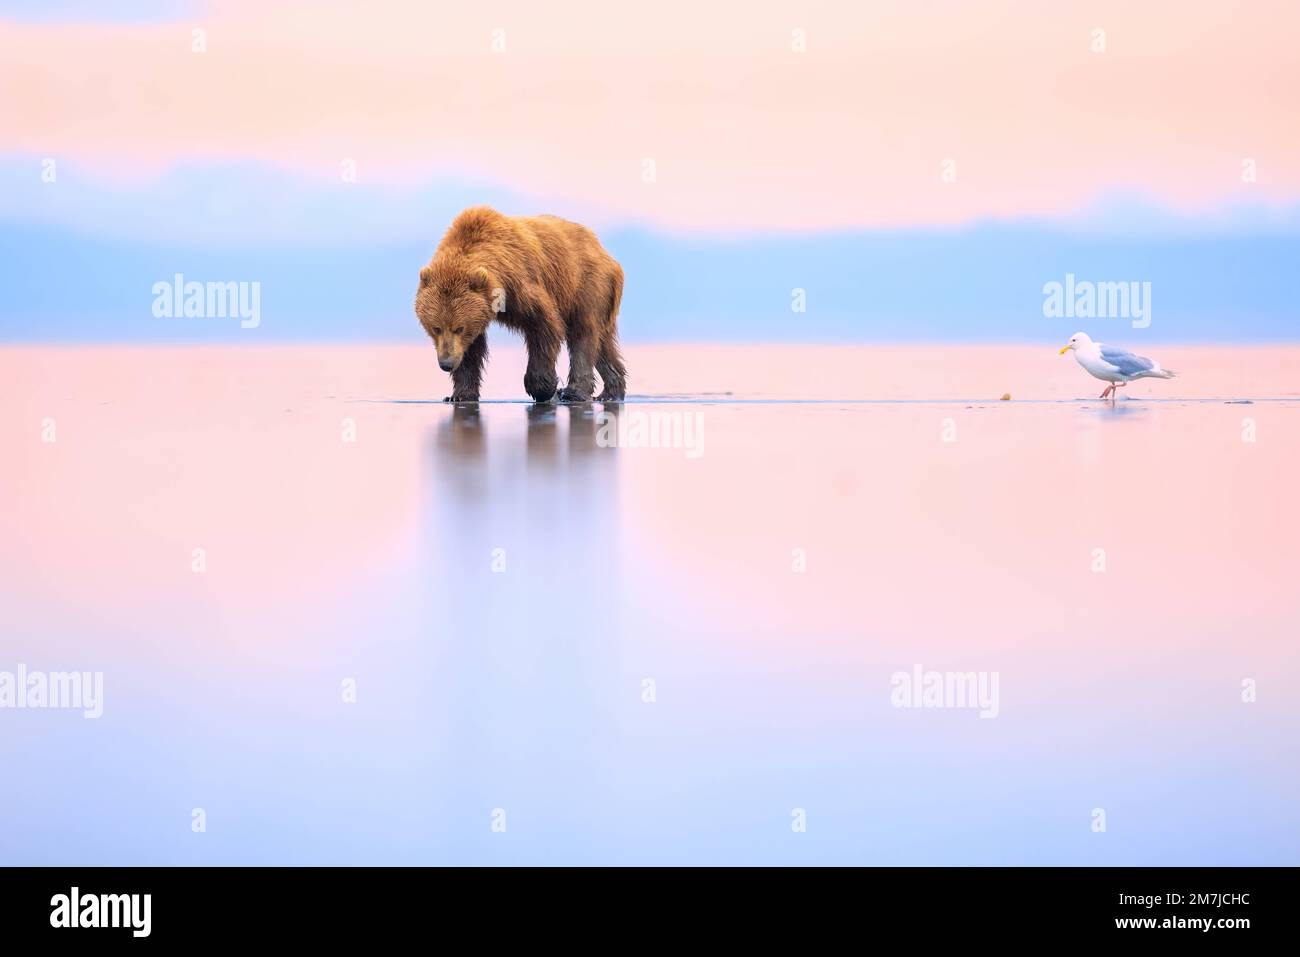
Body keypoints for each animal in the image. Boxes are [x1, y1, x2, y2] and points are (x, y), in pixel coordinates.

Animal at [410, 208, 624, 403]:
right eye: (436, 328)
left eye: (458, 328)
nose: (446, 363)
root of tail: (608, 256)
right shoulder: (480, 311)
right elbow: (471, 351)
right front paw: (460, 395)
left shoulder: (521, 284)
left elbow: (545, 326)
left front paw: (542, 388)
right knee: (603, 344)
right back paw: (611, 391)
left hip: (587, 285)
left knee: (583, 334)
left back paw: (573, 393)